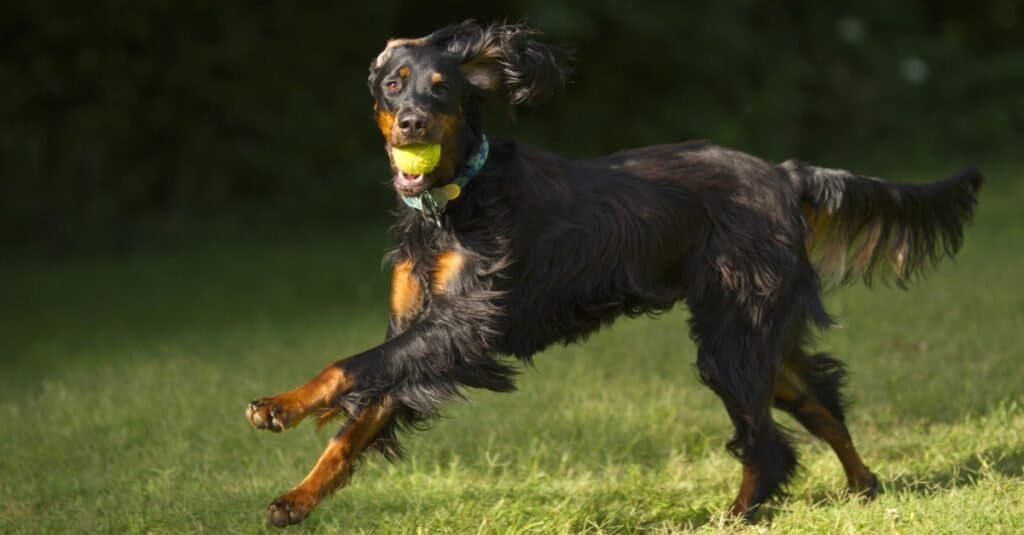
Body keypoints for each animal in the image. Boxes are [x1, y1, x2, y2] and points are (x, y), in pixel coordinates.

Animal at [245, 20, 983, 524]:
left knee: (767, 442)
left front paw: (279, 406)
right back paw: (865, 486)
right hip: (761, 336)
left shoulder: (463, 322)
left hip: (731, 336)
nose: (411, 124)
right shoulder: (421, 328)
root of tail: (783, 173)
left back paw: (737, 515)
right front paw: (296, 497)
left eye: (442, 88)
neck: (455, 197)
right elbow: (359, 418)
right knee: (822, 404)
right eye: (393, 83)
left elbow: (351, 366)